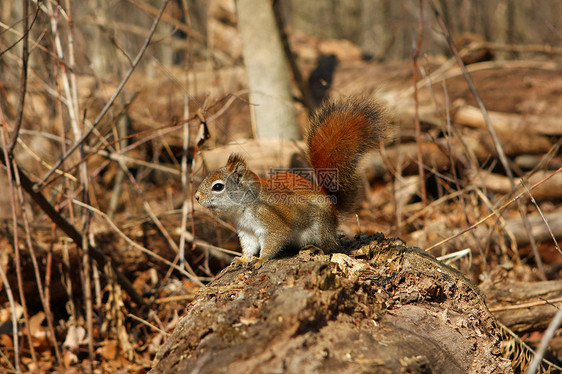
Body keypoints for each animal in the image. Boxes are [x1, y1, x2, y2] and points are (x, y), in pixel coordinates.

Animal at [195, 98, 392, 258]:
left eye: (218, 187)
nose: (196, 197)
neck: (242, 207)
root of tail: (333, 212)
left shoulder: (273, 222)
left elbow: (273, 241)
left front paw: (261, 260)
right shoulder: (246, 232)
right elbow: (249, 247)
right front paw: (243, 259)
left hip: (320, 229)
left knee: (332, 246)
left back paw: (318, 248)